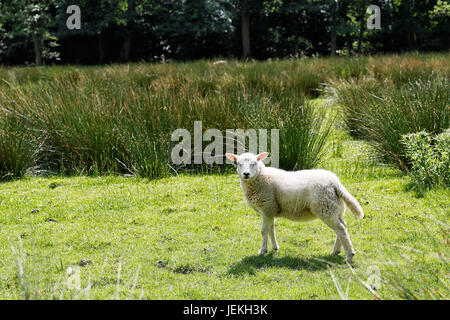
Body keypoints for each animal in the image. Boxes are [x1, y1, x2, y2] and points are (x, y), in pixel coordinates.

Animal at [227, 151, 364, 262]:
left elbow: (264, 231)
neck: (261, 177)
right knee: (342, 226)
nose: (246, 174)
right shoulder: (270, 210)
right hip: (335, 208)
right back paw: (336, 251)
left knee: (341, 229)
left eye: (254, 163)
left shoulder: (266, 207)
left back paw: (349, 255)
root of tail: (335, 182)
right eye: (237, 163)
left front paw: (262, 251)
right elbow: (271, 229)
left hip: (325, 207)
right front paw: (274, 248)